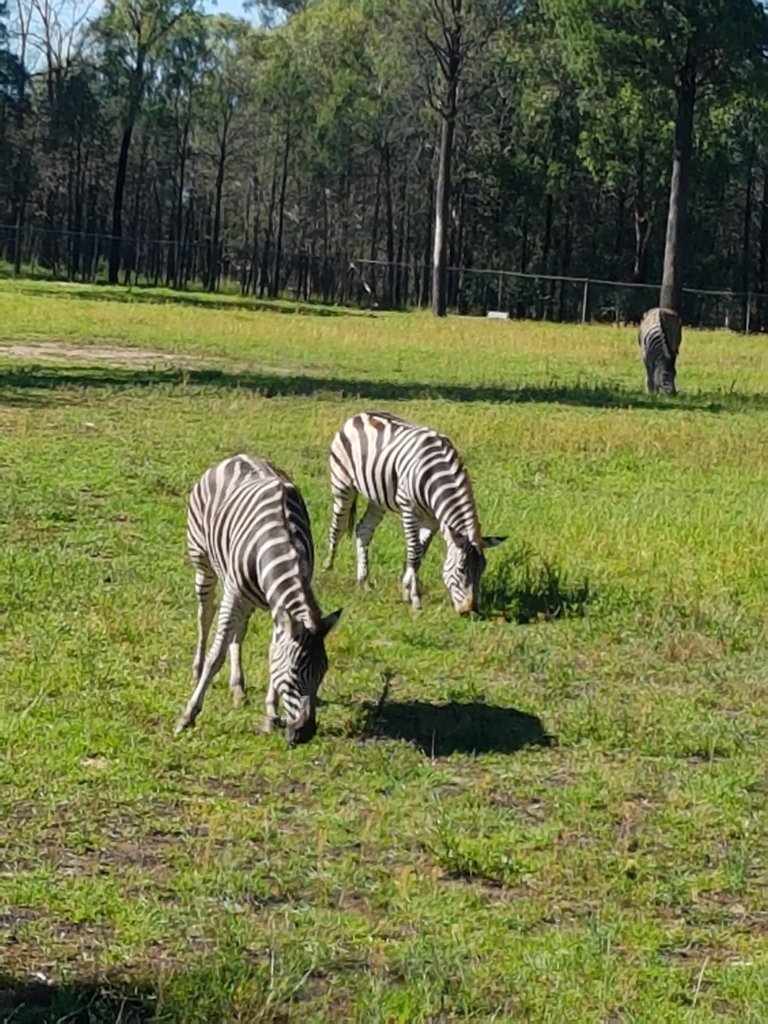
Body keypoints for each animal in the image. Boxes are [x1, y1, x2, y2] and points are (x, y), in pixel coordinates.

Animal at [177, 454, 342, 745]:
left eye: (323, 673)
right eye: (295, 674)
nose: (306, 734)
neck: (283, 544)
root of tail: (238, 456)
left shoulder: (279, 606)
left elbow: (272, 651)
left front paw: (270, 715)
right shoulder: (234, 592)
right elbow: (216, 656)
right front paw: (188, 715)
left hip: (248, 599)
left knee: (238, 631)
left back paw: (238, 687)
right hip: (203, 562)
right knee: (204, 615)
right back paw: (197, 669)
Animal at [323, 411, 505, 610]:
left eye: (483, 569)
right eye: (461, 570)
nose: (469, 610)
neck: (436, 475)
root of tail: (360, 415)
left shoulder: (433, 520)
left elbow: (420, 554)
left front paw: (406, 590)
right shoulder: (408, 508)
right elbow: (414, 551)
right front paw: (416, 599)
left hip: (377, 498)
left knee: (363, 529)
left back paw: (364, 581)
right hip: (342, 484)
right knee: (338, 526)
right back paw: (328, 565)